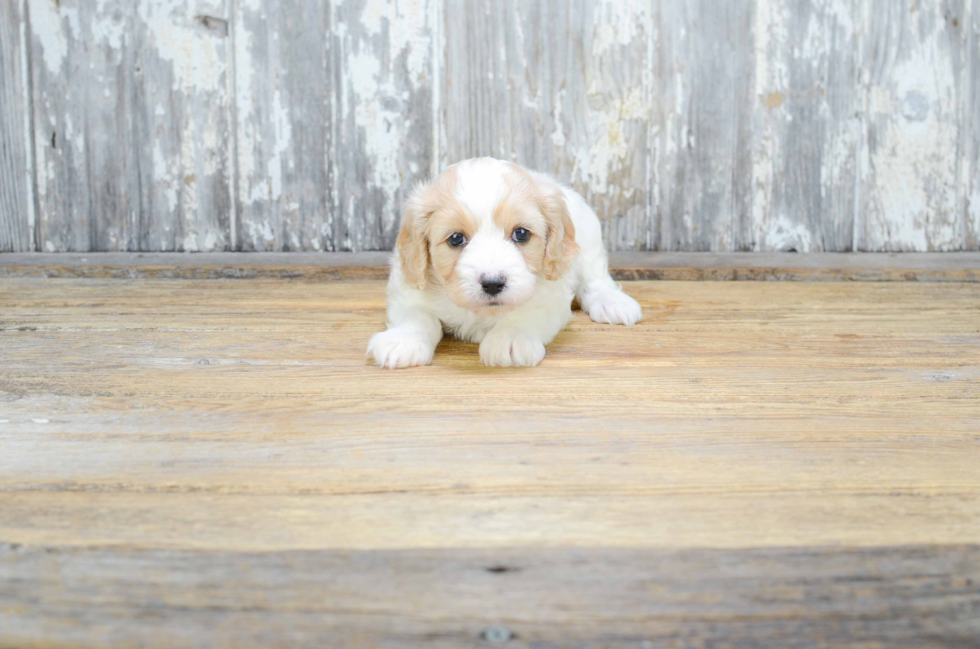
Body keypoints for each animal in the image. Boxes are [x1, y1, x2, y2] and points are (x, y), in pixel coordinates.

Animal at [368, 157, 644, 368]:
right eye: (456, 238)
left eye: (521, 234)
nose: (492, 284)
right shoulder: (407, 289)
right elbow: (417, 317)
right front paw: (403, 341)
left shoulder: (551, 298)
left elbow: (526, 312)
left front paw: (510, 340)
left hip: (588, 241)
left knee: (596, 279)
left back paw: (612, 302)